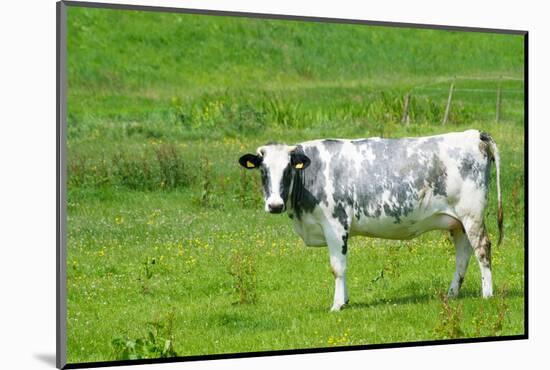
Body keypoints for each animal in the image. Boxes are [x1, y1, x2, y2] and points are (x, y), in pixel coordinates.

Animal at [238, 130, 504, 312]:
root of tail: (475, 134)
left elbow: (338, 267)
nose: (275, 205)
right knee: (463, 255)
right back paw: (452, 294)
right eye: (263, 171)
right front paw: (344, 300)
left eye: (288, 170)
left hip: (472, 214)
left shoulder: (335, 225)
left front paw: (337, 305)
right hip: (457, 222)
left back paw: (487, 294)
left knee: (482, 249)